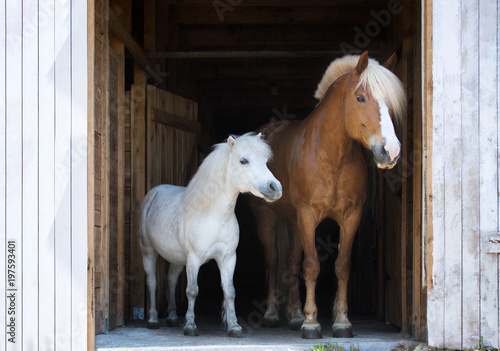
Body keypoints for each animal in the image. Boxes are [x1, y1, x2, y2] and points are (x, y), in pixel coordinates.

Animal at [139, 133, 284, 338]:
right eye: (243, 160)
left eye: (265, 161)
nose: (275, 188)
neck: (213, 215)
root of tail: (154, 192)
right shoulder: (194, 259)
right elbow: (192, 291)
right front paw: (190, 326)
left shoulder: (228, 258)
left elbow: (230, 291)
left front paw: (234, 327)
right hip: (148, 252)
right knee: (152, 282)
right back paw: (153, 320)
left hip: (177, 259)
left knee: (171, 280)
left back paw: (173, 318)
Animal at [250, 51, 406, 340]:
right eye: (360, 98)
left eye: (390, 103)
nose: (390, 151)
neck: (332, 156)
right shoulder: (308, 215)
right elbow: (312, 266)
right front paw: (311, 323)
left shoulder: (351, 216)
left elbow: (341, 266)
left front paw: (341, 322)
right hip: (268, 218)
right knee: (274, 261)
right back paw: (272, 315)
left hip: (292, 221)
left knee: (291, 262)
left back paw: (294, 314)